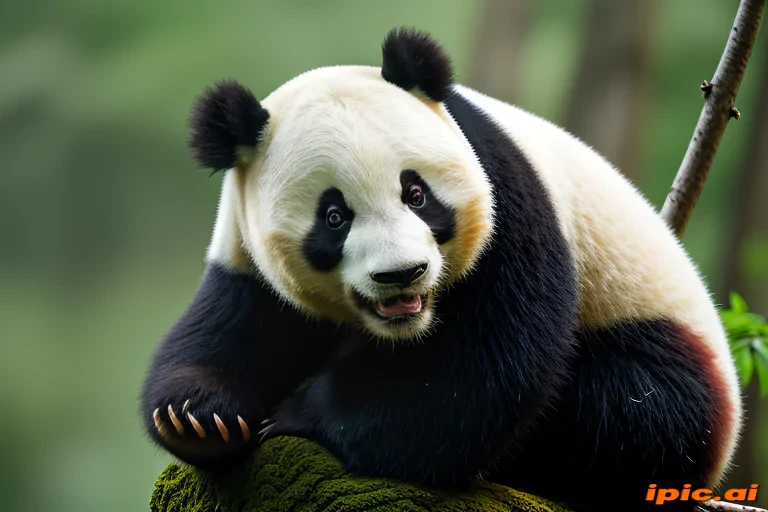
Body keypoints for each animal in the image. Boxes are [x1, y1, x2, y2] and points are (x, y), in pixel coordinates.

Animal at [142, 28, 742, 512]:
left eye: (416, 194)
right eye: (334, 217)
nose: (401, 274)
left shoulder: (504, 198)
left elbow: (483, 372)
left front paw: (300, 412)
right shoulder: (246, 257)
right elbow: (229, 331)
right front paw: (198, 417)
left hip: (661, 353)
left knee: (623, 409)